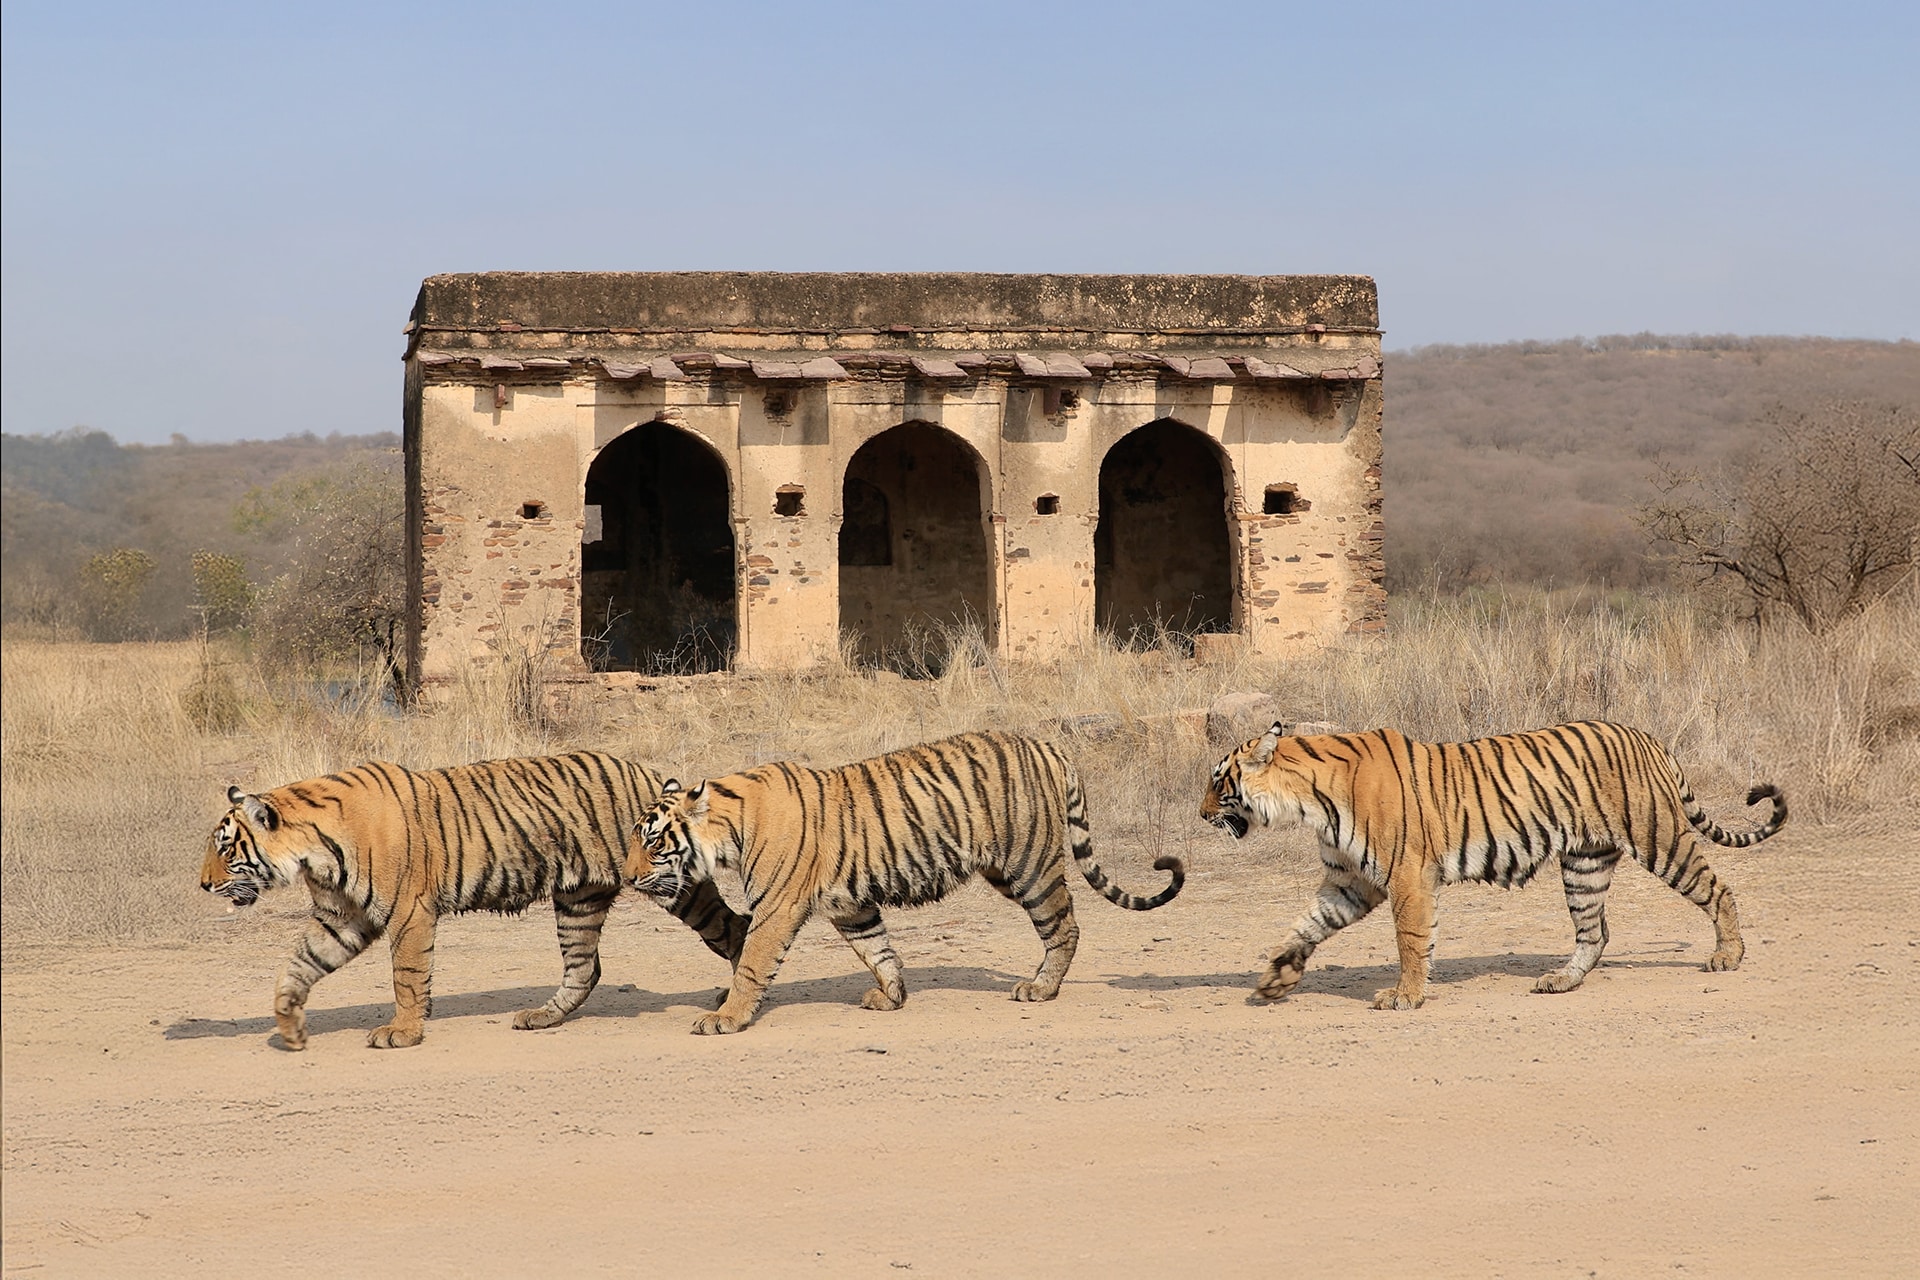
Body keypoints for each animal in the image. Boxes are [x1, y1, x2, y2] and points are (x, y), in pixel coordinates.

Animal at [201, 752, 749, 1050]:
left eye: (226, 849)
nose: (204, 886)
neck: (313, 853)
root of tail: (653, 775)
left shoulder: (409, 912)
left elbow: (405, 976)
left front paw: (403, 1032)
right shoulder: (341, 917)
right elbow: (297, 966)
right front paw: (290, 1027)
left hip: (672, 886)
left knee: (737, 926)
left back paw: (734, 999)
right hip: (579, 899)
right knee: (585, 968)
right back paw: (542, 1017)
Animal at [623, 730, 1185, 1035]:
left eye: (651, 841)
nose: (626, 877)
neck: (730, 830)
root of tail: (1047, 744)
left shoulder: (776, 908)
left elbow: (752, 966)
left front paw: (726, 1018)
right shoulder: (850, 905)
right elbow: (878, 949)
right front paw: (891, 996)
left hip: (1030, 866)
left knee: (1064, 926)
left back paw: (1041, 988)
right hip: (1005, 869)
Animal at [1199, 720, 1787, 1009]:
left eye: (1217, 780)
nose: (1200, 813)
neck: (1306, 801)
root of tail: (1646, 736)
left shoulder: (1406, 877)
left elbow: (1410, 940)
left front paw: (1406, 997)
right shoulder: (1350, 882)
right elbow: (1304, 927)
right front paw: (1275, 980)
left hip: (1658, 836)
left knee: (1717, 889)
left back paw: (1728, 956)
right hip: (1585, 862)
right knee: (1595, 932)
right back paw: (1561, 982)